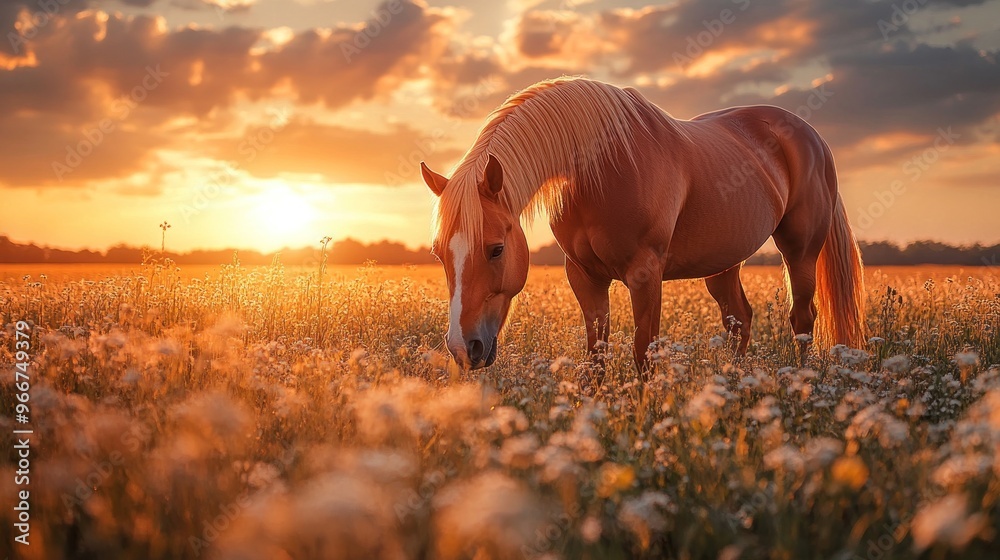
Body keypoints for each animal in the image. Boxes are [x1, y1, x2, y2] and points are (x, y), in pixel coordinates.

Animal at [418, 74, 864, 372]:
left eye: (496, 249)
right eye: (439, 255)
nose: (463, 348)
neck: (600, 168)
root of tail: (812, 136)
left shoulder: (645, 275)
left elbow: (643, 354)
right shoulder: (584, 276)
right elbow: (596, 356)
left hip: (800, 250)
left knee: (802, 320)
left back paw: (801, 384)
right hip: (723, 264)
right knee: (740, 321)